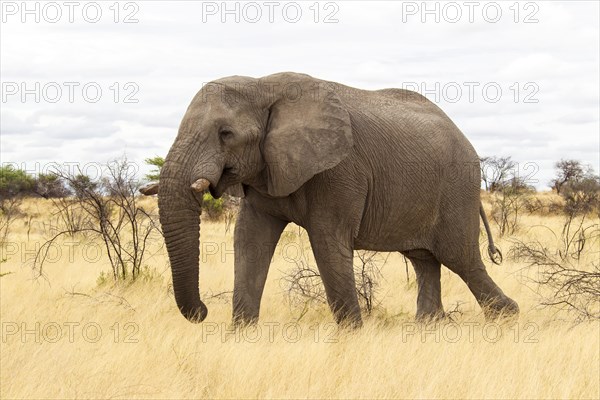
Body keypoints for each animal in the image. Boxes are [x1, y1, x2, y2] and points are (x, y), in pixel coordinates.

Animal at [146, 72, 520, 326]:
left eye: (226, 134)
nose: (203, 312)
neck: (262, 86)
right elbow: (250, 239)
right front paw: (241, 335)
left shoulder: (339, 169)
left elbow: (327, 240)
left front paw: (352, 334)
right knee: (424, 259)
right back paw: (429, 325)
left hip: (456, 187)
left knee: (460, 258)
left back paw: (507, 315)